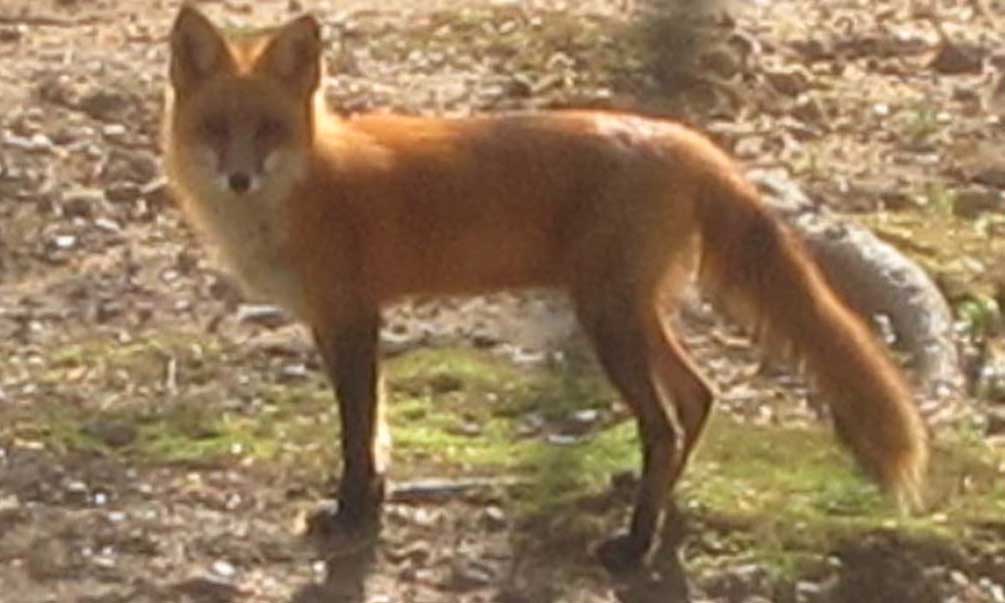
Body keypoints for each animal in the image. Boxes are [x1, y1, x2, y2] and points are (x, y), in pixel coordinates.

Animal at [163, 5, 929, 569]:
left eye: (268, 129)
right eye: (215, 128)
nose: (239, 178)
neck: (305, 188)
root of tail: (681, 137)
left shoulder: (353, 316)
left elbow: (356, 433)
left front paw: (351, 512)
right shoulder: (331, 321)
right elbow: (374, 432)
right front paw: (370, 503)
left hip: (607, 318)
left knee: (662, 422)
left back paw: (635, 545)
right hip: (631, 311)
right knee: (698, 395)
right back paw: (652, 502)